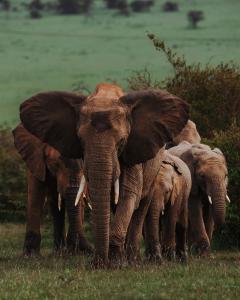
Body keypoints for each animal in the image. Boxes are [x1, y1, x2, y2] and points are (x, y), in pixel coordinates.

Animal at [11, 123, 93, 256]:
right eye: (56, 164)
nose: (92, 249)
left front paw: (74, 252)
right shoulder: (35, 157)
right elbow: (36, 194)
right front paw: (30, 255)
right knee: (54, 202)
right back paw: (59, 252)